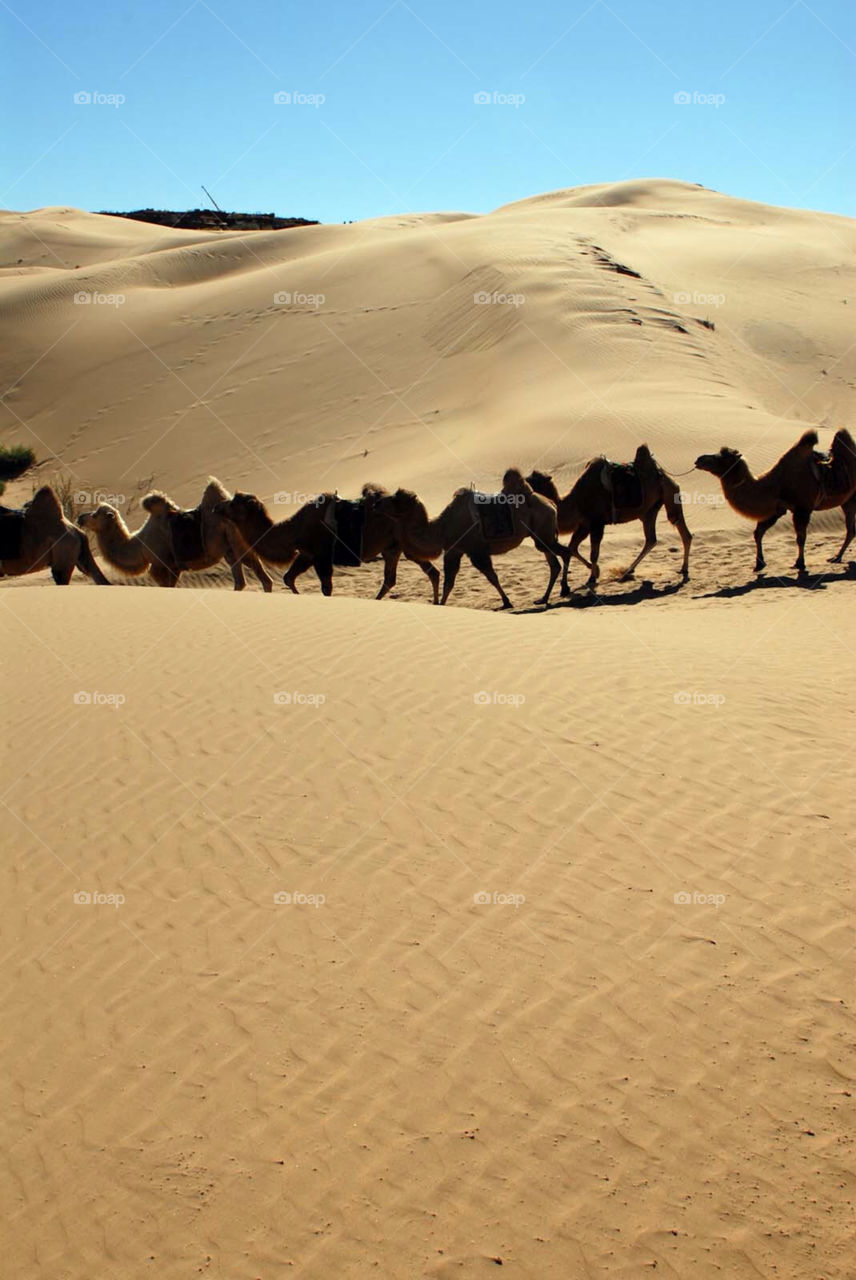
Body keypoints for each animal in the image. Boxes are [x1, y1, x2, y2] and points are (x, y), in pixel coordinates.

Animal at [78, 478, 274, 589]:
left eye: (95, 515)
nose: (80, 517)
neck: (140, 545)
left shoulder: (161, 565)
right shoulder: (174, 567)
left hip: (235, 544)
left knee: (253, 579)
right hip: (233, 549)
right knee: (250, 578)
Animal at [372, 469, 565, 608]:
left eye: (397, 499)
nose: (376, 503)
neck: (440, 529)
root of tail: (551, 504)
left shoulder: (473, 551)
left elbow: (490, 577)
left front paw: (507, 602)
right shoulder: (455, 551)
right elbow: (450, 582)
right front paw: (441, 604)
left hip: (543, 534)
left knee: (562, 555)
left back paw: (558, 592)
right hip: (540, 536)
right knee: (555, 563)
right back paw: (544, 598)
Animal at [527, 444, 692, 593]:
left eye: (531, 482)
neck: (576, 501)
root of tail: (665, 475)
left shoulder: (597, 522)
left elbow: (593, 553)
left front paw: (592, 577)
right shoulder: (585, 524)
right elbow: (572, 548)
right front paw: (573, 582)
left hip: (670, 496)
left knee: (682, 532)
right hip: (649, 511)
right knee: (652, 539)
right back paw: (630, 571)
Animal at [695, 428, 856, 572]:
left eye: (723, 458)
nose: (699, 459)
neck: (775, 484)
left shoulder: (802, 509)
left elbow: (800, 538)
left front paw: (800, 563)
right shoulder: (778, 509)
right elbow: (758, 532)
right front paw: (759, 564)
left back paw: (837, 557)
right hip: (847, 502)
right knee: (851, 530)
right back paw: (837, 557)